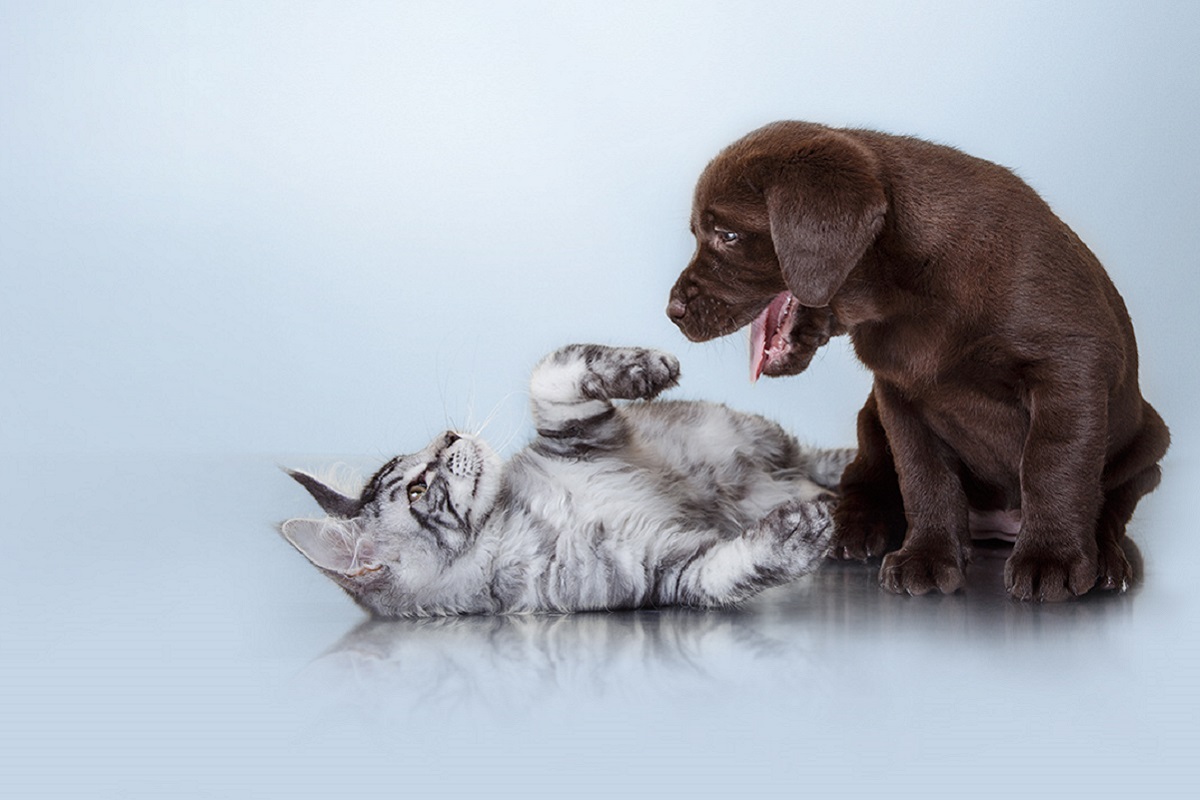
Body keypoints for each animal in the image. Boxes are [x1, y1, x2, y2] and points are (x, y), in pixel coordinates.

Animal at [280, 345, 854, 618]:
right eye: (416, 490)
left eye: (426, 454)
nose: (448, 435)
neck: (524, 518)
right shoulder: (662, 573)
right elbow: (733, 568)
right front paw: (798, 534)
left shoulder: (576, 434)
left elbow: (550, 374)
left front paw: (644, 365)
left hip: (760, 436)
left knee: (830, 459)